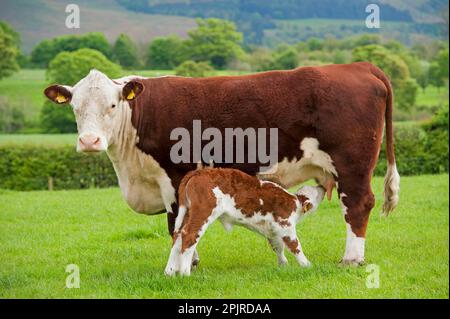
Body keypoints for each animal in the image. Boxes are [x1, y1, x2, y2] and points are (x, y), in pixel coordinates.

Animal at [164, 168, 324, 278]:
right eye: (316, 193)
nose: (322, 186)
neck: (294, 202)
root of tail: (197, 172)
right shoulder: (286, 225)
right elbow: (295, 245)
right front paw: (306, 265)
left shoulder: (273, 230)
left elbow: (278, 247)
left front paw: (283, 266)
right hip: (203, 212)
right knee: (189, 236)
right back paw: (185, 273)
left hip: (186, 212)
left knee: (177, 236)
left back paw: (169, 272)